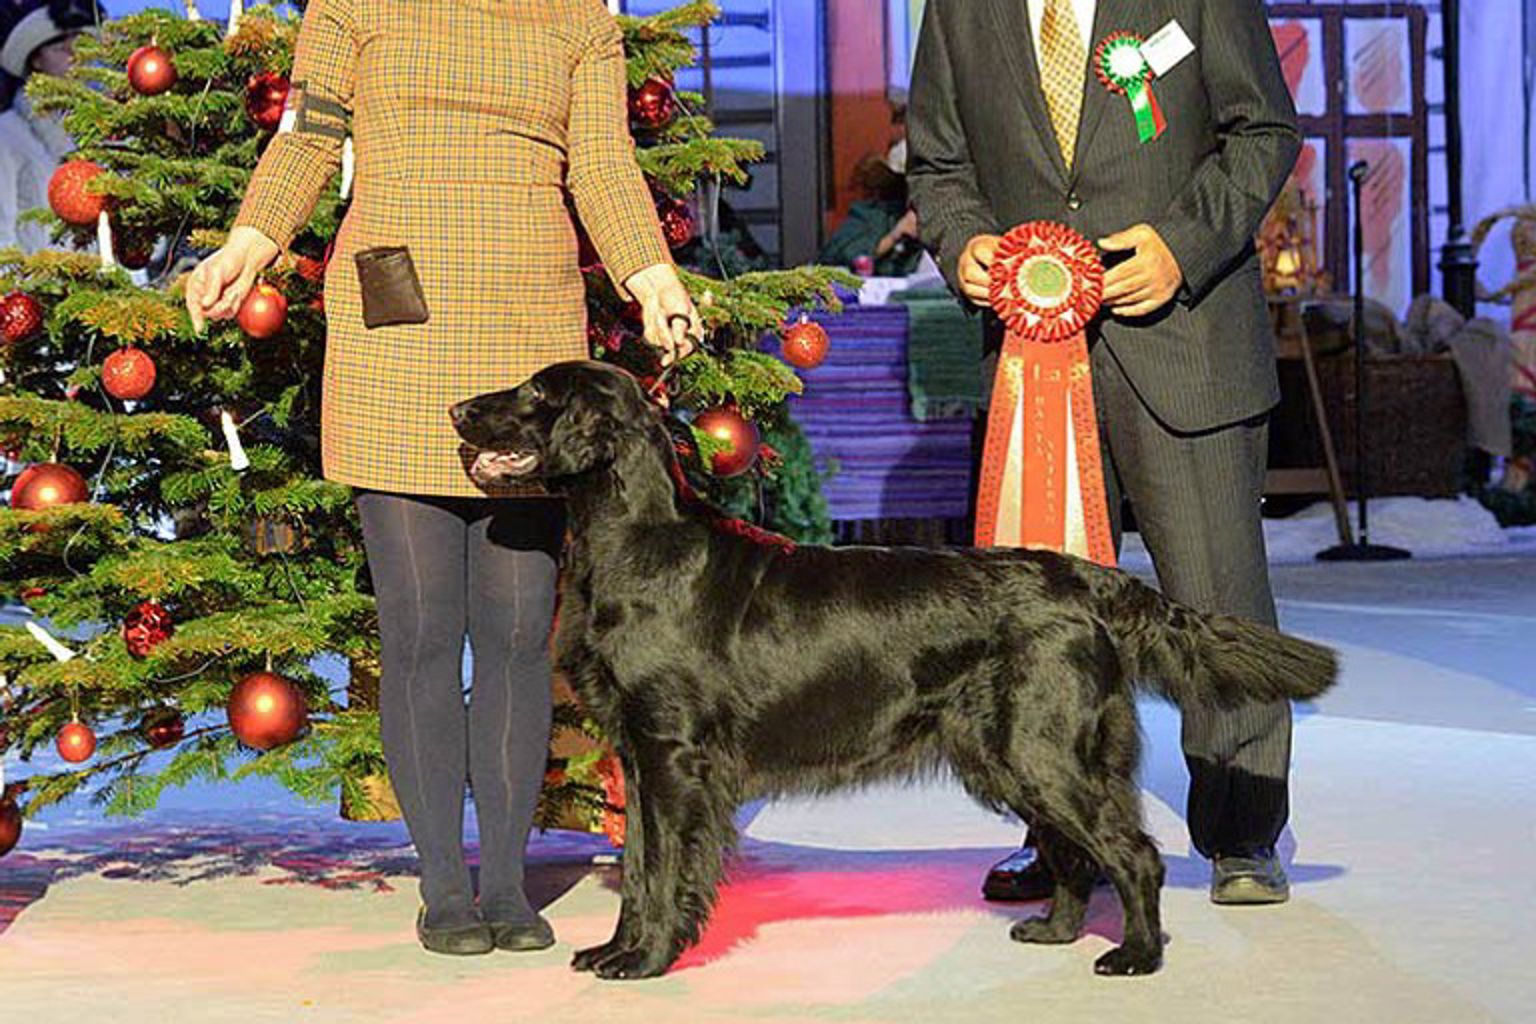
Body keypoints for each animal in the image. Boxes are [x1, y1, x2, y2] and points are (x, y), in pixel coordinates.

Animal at [448, 363, 1333, 982]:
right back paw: (1053, 929)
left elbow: (662, 868)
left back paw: (1136, 957)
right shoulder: (641, 757)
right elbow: (634, 866)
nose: (457, 410)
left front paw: (647, 959)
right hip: (1009, 756)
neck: (638, 545)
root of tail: (1085, 578)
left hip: (1041, 750)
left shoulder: (673, 757)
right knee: (1078, 853)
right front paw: (616, 949)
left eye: (535, 392)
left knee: (1133, 853)